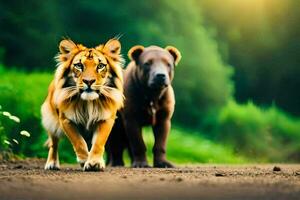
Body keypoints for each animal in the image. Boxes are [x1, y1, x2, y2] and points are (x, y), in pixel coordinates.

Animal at [41, 38, 123, 171]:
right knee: (54, 143)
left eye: (100, 66)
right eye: (79, 65)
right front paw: (85, 160)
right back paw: (52, 163)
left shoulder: (105, 119)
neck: (89, 102)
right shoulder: (66, 120)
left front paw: (95, 163)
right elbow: (78, 142)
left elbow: (98, 143)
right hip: (51, 121)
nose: (88, 81)